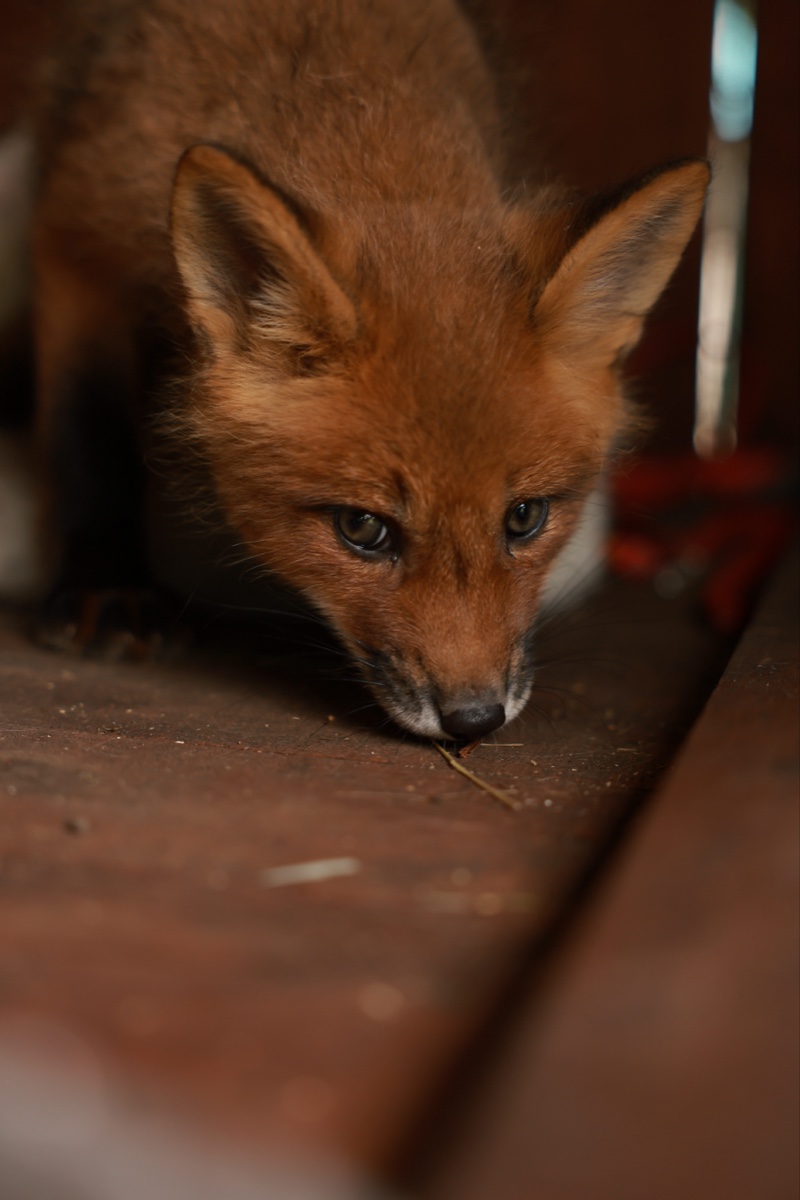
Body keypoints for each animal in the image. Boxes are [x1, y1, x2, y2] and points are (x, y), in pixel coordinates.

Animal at [29, 0, 709, 741]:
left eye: (525, 518)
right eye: (361, 529)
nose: (474, 718)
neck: (340, 82)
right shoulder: (76, 238)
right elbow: (90, 436)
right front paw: (107, 586)